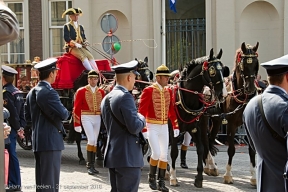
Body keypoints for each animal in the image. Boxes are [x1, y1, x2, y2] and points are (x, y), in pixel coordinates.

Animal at [169, 48, 230, 188]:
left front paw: (199, 177)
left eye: (223, 69)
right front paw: (173, 177)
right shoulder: (173, 130)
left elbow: (200, 149)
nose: (223, 94)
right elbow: (174, 151)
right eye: (212, 70)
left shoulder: (195, 128)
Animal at [205, 42, 258, 186]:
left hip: (216, 121)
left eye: (255, 64)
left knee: (210, 139)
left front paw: (254, 177)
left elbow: (252, 150)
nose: (251, 88)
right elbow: (231, 149)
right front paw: (228, 175)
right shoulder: (231, 124)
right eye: (243, 65)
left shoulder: (247, 125)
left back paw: (210, 166)